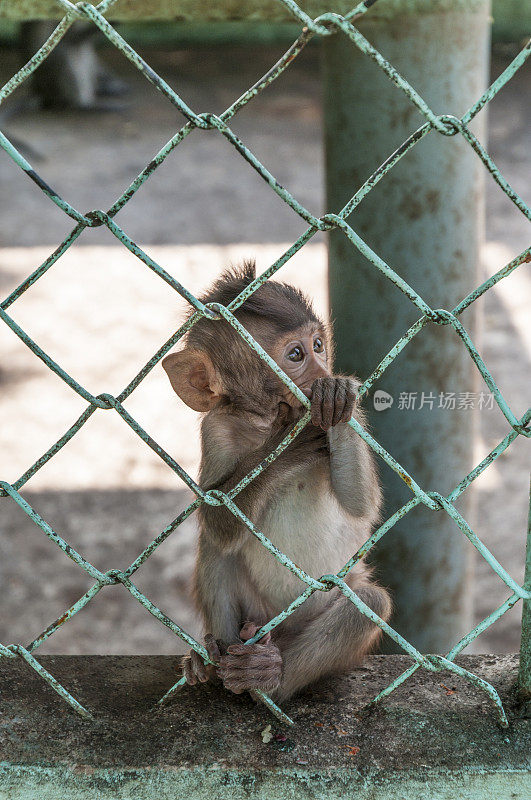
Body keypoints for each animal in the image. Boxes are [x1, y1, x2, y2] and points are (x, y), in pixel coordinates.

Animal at [164, 262, 392, 700]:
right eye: (296, 354)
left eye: (319, 345)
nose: (322, 373)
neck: (264, 419)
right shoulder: (217, 429)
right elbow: (218, 514)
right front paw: (286, 449)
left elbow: (361, 505)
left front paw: (337, 393)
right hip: (257, 611)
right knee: (217, 550)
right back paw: (217, 663)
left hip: (324, 599)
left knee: (367, 603)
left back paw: (268, 675)